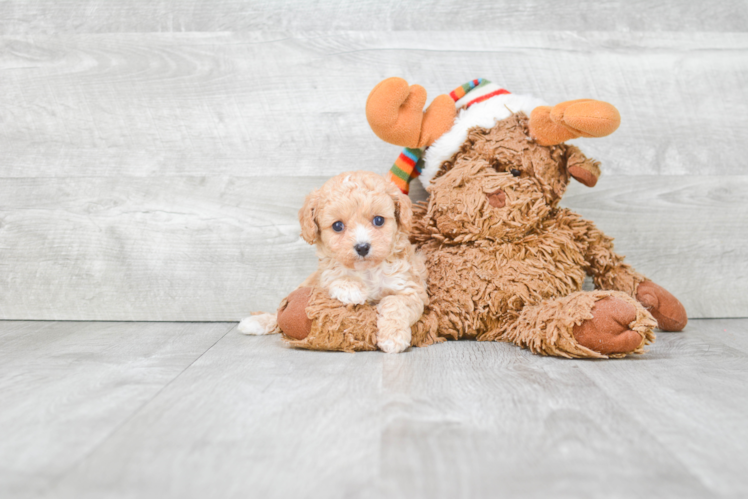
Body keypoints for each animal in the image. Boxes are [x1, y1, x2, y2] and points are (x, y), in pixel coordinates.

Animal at [240, 172, 426, 356]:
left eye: (379, 220)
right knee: (278, 313)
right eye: (337, 226)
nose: (362, 247)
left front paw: (393, 337)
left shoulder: (409, 289)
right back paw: (257, 322)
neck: (366, 271)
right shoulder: (323, 275)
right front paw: (351, 289)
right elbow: (333, 276)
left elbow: (396, 304)